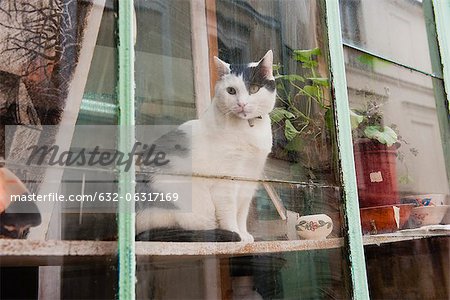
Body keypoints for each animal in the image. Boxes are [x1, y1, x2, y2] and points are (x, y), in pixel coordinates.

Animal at [134, 49, 276, 241]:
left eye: (254, 89)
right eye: (231, 91)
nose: (241, 104)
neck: (248, 129)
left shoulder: (250, 178)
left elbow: (242, 211)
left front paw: (245, 235)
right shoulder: (226, 181)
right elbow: (230, 212)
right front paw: (236, 235)